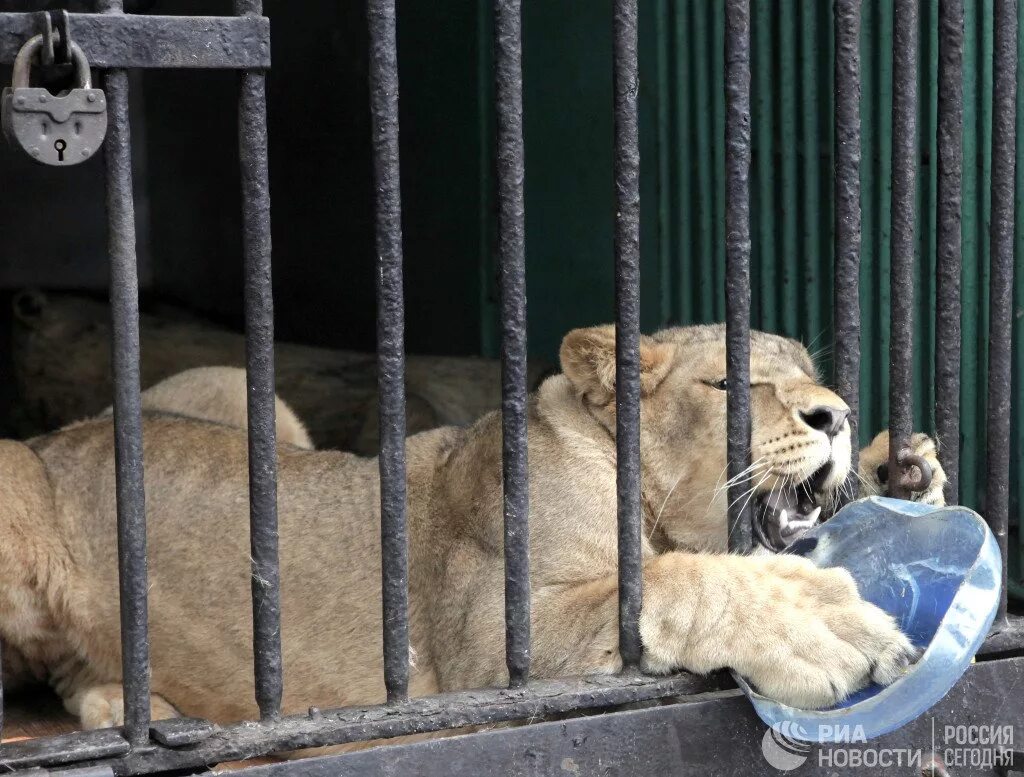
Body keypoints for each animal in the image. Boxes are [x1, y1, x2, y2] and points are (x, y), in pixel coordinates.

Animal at [0, 321, 942, 741]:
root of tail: (63, 432)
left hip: (238, 387)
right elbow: (688, 579)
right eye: (729, 383)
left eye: (812, 374)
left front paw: (906, 469)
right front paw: (824, 627)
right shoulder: (489, 645)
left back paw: (125, 699)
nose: (835, 415)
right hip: (15, 478)